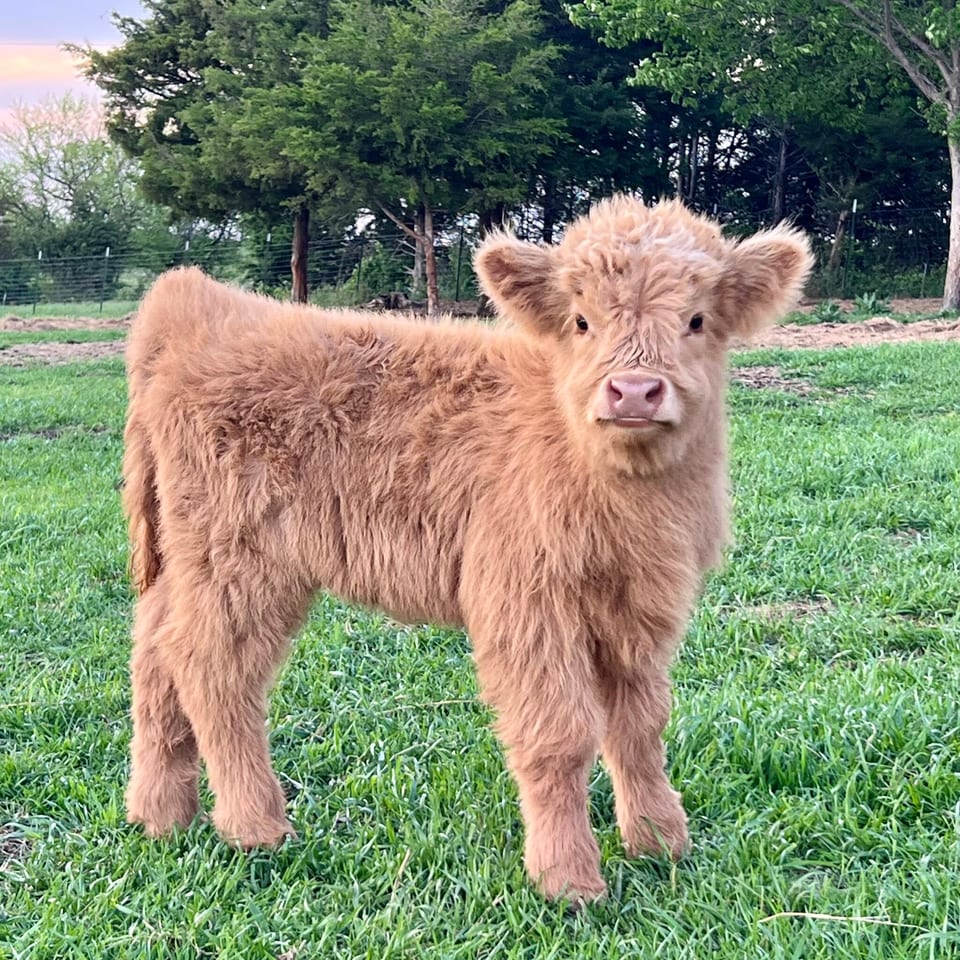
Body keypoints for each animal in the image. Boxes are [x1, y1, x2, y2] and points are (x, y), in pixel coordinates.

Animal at [121, 196, 812, 903]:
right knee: (211, 666)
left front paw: (658, 843)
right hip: (239, 557)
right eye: (582, 321)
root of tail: (195, 304)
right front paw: (568, 880)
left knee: (154, 655)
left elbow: (642, 725)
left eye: (696, 320)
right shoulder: (525, 599)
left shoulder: (641, 604)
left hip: (189, 556)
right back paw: (255, 826)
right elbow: (559, 735)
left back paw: (160, 815)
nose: (635, 391)